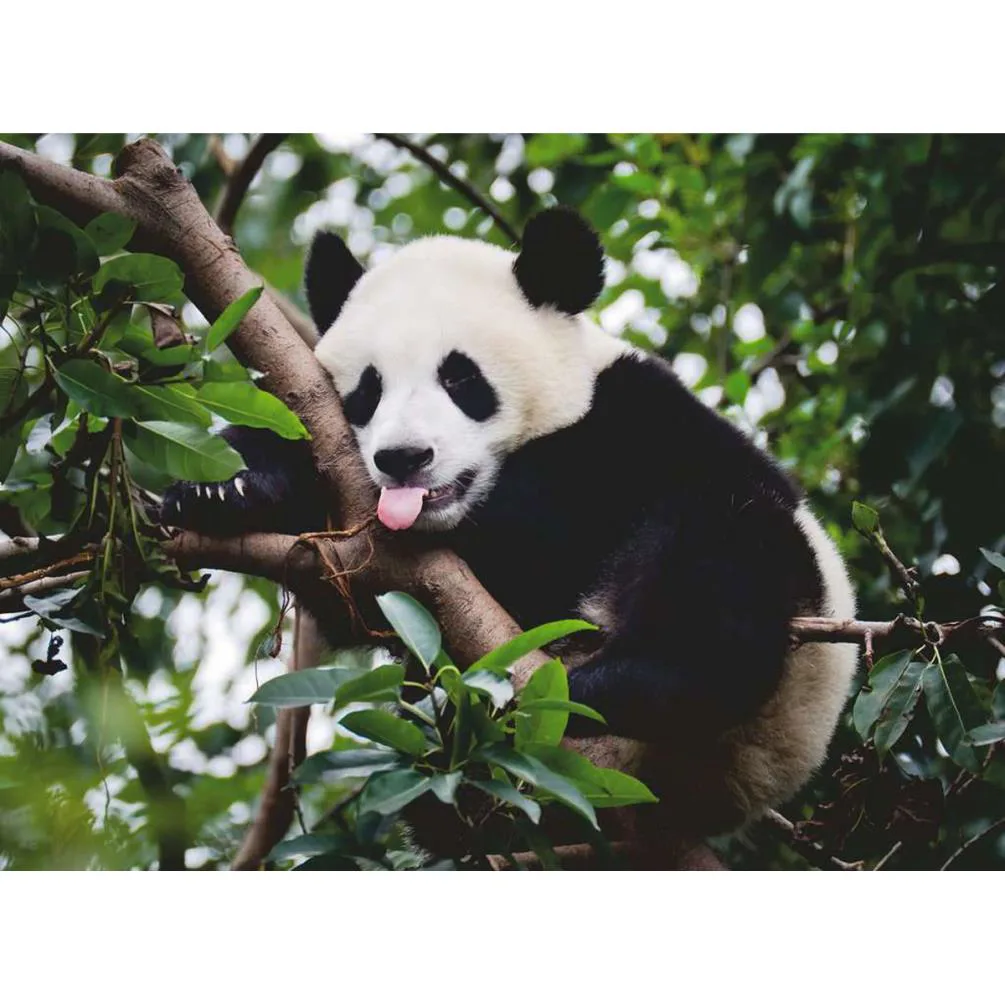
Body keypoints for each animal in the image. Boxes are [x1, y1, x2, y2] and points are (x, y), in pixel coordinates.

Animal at [162, 206, 858, 848]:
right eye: (368, 390)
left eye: (461, 377)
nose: (404, 458)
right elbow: (348, 591)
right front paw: (221, 487)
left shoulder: (633, 426)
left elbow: (539, 530)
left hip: (780, 665)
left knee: (718, 565)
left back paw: (614, 685)